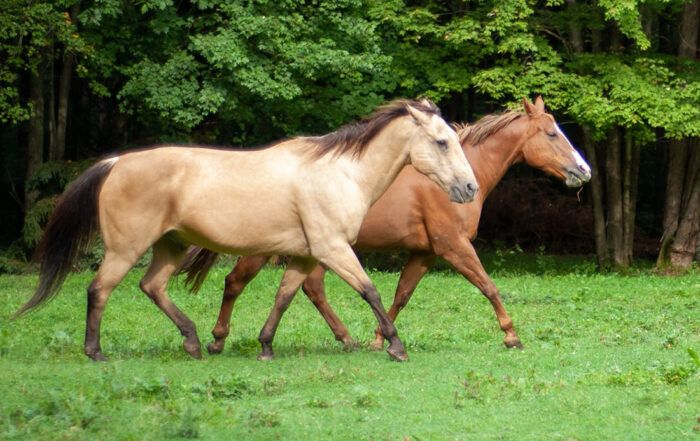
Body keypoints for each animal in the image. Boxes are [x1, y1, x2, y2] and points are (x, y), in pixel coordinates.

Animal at [14, 99, 479, 362]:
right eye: (441, 142)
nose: (470, 188)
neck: (340, 173)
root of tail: (115, 163)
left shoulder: (305, 255)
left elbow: (284, 298)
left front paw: (266, 347)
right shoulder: (333, 250)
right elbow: (370, 291)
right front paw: (396, 347)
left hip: (170, 246)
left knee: (152, 287)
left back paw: (194, 344)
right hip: (126, 249)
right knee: (99, 290)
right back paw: (95, 352)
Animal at [180, 96, 592, 354]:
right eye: (552, 133)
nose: (583, 170)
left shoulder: (425, 254)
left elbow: (400, 296)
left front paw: (380, 338)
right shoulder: (453, 246)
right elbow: (488, 286)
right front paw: (511, 336)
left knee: (309, 288)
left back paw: (345, 338)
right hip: (269, 249)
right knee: (236, 282)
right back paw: (217, 339)